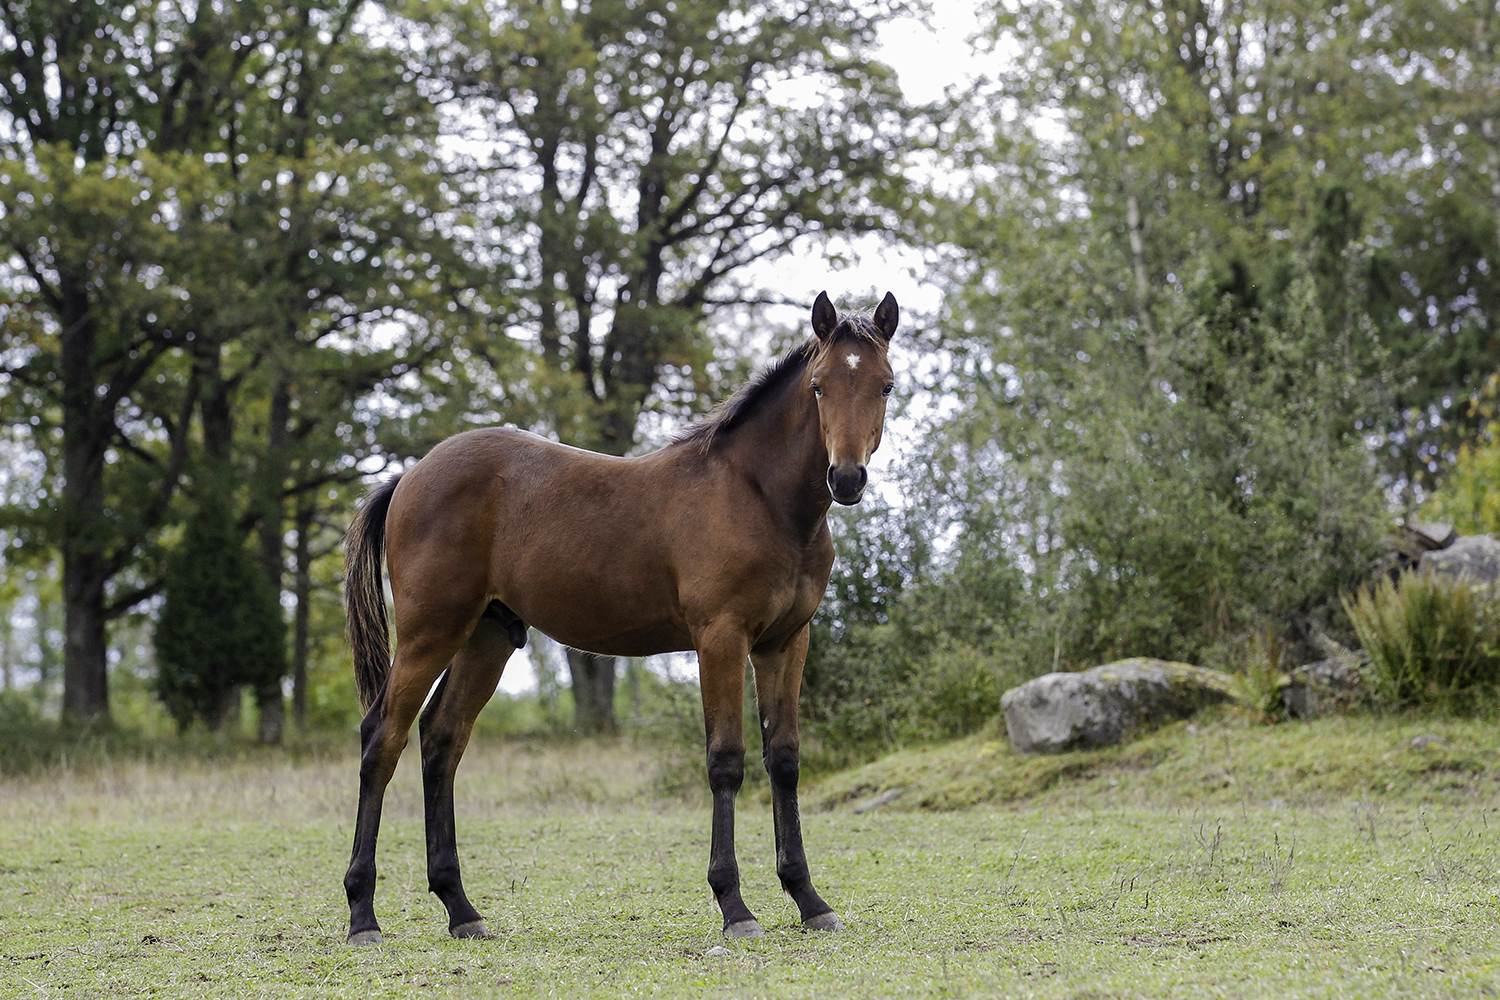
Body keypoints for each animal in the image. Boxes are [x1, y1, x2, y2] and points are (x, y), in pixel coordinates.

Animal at [342, 289, 900, 947]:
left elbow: (783, 760)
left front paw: (810, 899)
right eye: (817, 385)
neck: (759, 497)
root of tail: (410, 476)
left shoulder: (786, 643)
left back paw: (461, 909)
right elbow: (726, 760)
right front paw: (735, 906)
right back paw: (362, 915)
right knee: (383, 738)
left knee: (441, 739)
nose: (847, 477)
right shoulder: (721, 639)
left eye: (886, 385)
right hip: (430, 632)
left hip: (487, 636)